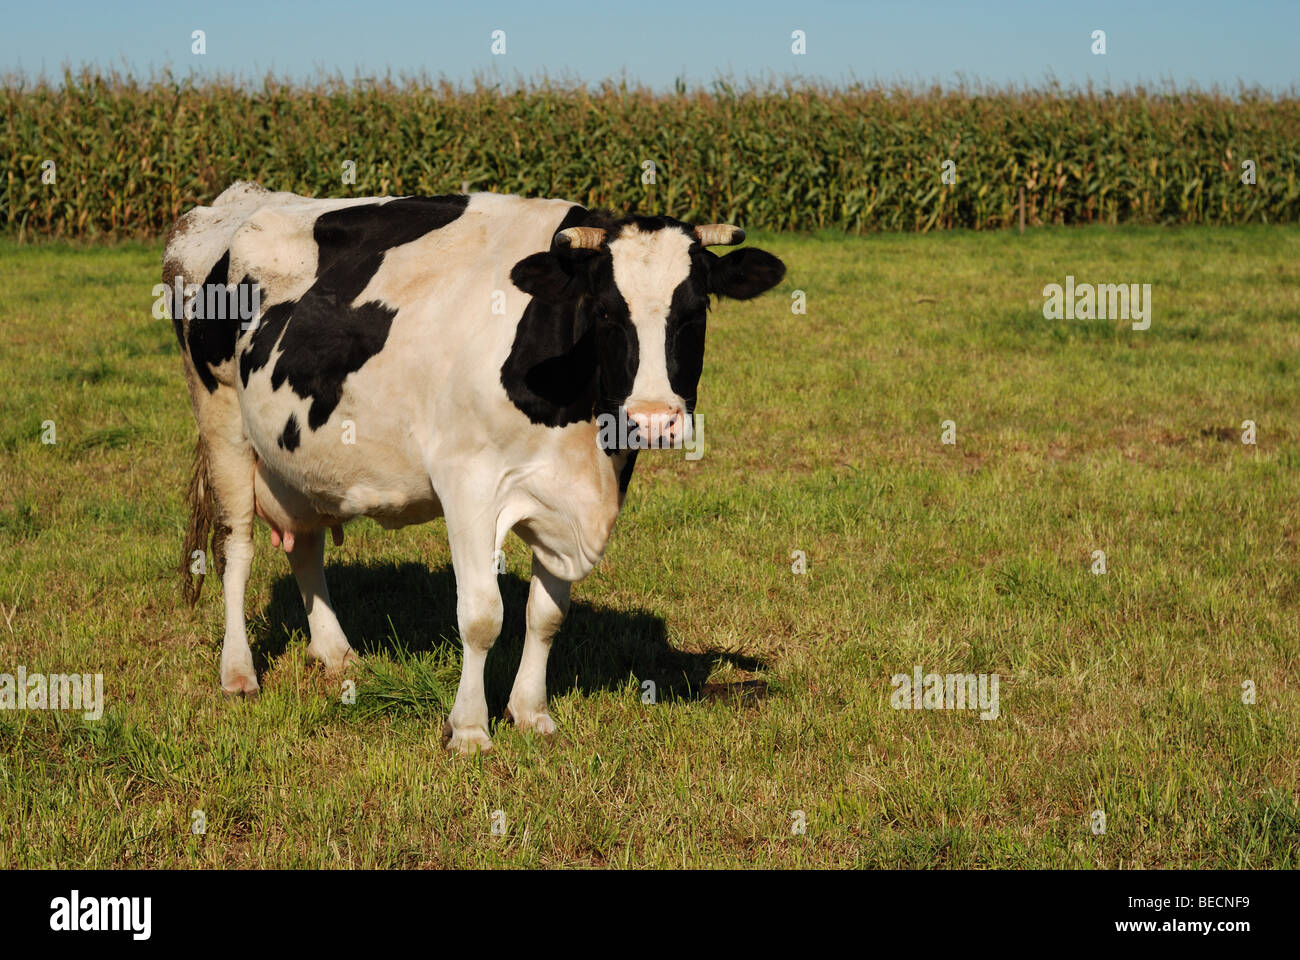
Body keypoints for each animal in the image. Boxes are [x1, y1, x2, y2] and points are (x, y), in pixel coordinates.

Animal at [165, 182, 786, 753]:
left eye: (696, 310)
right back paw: (238, 672)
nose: (654, 420)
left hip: (298, 457)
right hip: (221, 419)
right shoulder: (466, 481)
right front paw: (468, 729)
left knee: (305, 546)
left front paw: (530, 713)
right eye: (607, 311)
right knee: (237, 547)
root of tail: (232, 200)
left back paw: (337, 655)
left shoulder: (567, 493)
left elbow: (546, 614)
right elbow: (483, 614)